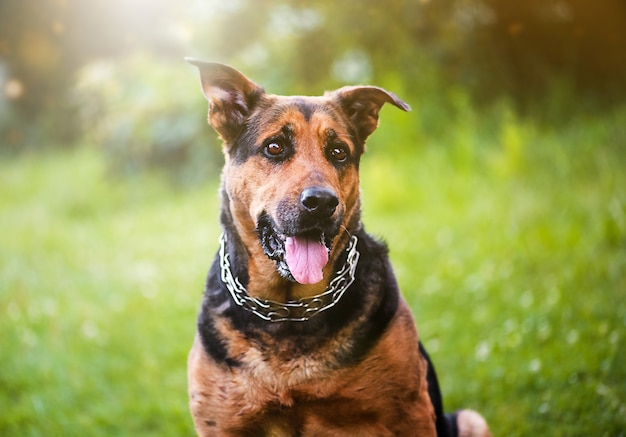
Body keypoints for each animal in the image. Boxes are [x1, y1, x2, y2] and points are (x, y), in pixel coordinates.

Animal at [185, 58, 488, 436]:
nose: (321, 202)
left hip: (470, 420)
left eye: (339, 152)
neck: (290, 311)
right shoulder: (222, 424)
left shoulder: (411, 413)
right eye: (275, 147)